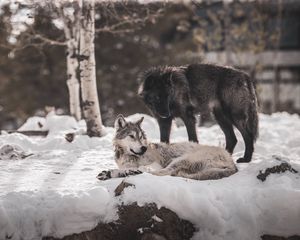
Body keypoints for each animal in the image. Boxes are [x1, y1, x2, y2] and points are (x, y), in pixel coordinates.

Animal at [97, 115, 238, 181]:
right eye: (132, 136)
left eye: (141, 137)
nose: (144, 148)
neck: (129, 157)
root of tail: (232, 162)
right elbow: (127, 168)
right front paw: (120, 172)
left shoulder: (156, 164)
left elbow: (145, 168)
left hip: (180, 160)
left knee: (161, 173)